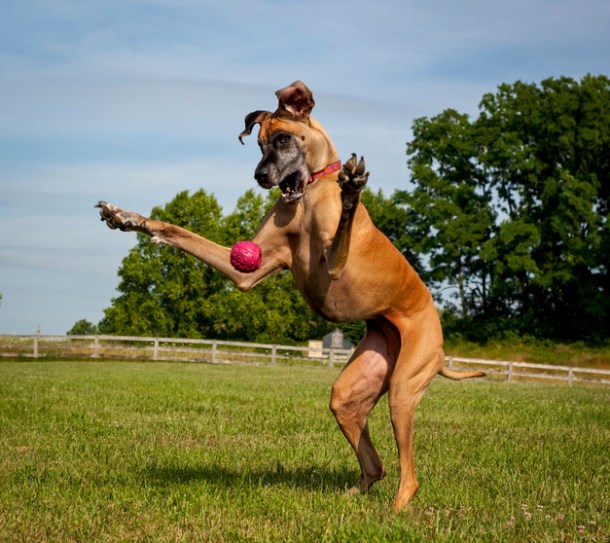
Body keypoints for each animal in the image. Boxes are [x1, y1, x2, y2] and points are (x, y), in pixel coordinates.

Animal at [97, 79, 482, 510]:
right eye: (258, 143)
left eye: (282, 139)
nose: (260, 176)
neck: (310, 195)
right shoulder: (244, 270)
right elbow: (177, 231)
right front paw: (127, 217)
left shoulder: (334, 266)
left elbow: (343, 225)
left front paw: (352, 191)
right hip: (353, 391)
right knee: (374, 462)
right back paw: (352, 494)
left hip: (403, 388)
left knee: (409, 475)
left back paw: (396, 508)